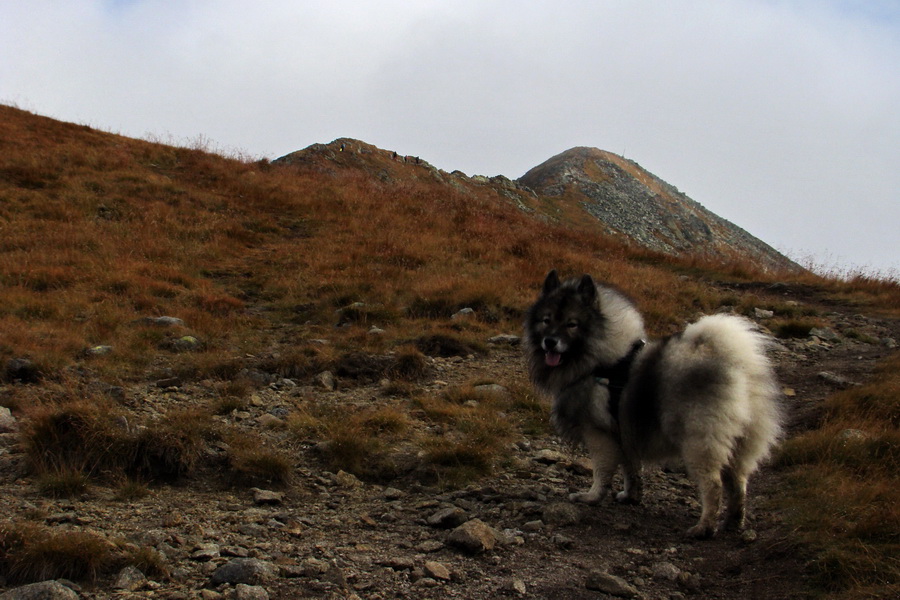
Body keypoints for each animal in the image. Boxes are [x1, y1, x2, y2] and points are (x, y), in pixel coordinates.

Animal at [524, 270, 784, 536]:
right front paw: (631, 496)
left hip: (699, 442)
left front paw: (591, 497)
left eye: (572, 324)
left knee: (713, 485)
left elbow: (602, 471)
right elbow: (631, 469)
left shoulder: (598, 435)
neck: (604, 360)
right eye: (546, 320)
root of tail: (737, 365)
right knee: (738, 483)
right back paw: (733, 522)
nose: (550, 341)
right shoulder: (624, 431)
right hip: (740, 444)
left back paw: (704, 528)